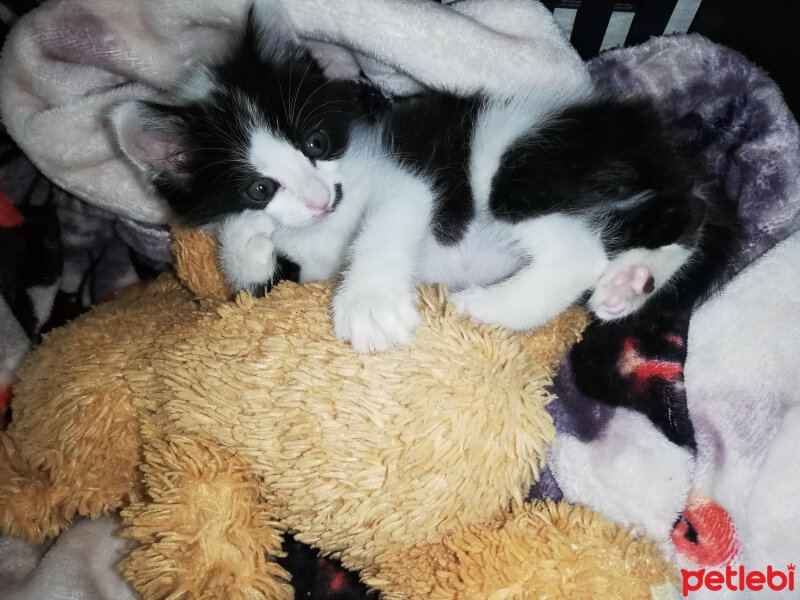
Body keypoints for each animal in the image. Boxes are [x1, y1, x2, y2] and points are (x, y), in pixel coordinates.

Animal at [111, 0, 736, 354]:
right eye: (259, 187)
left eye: (315, 143)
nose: (318, 198)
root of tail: (640, 130)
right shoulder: (301, 270)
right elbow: (260, 282)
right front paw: (246, 239)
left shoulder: (406, 175)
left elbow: (388, 219)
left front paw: (368, 305)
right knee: (686, 212)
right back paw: (629, 283)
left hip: (513, 158)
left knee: (579, 250)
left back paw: (483, 308)